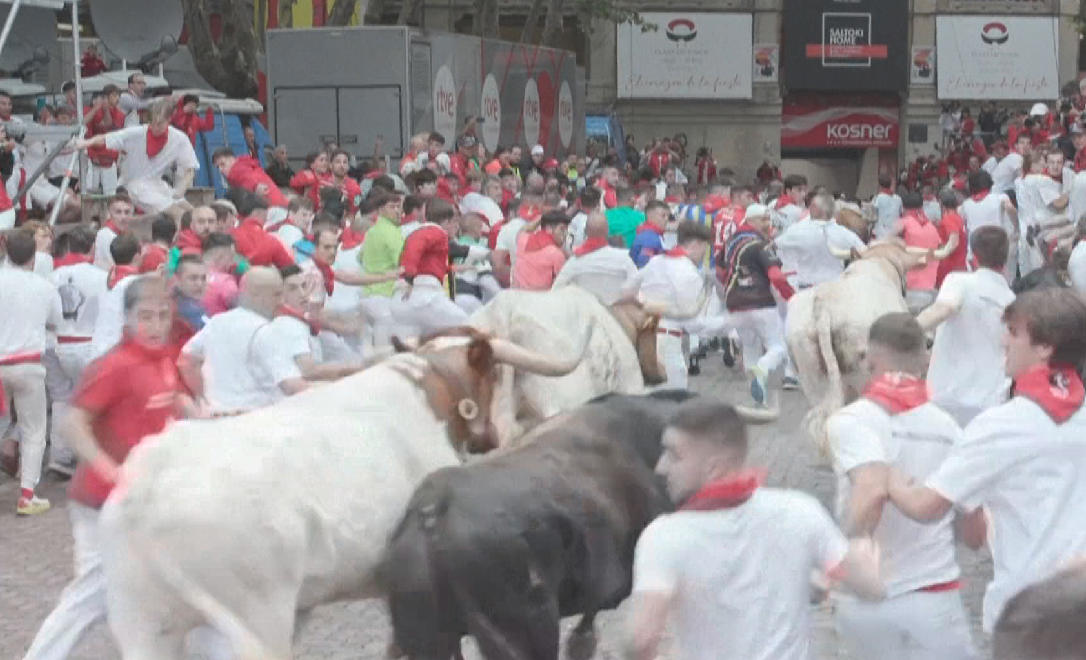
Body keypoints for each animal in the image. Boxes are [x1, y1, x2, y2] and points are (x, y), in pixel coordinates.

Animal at [94, 327, 590, 660]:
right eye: (496, 374)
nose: (492, 436)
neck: (429, 388)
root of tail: (150, 477)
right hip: (253, 619)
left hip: (139, 623)